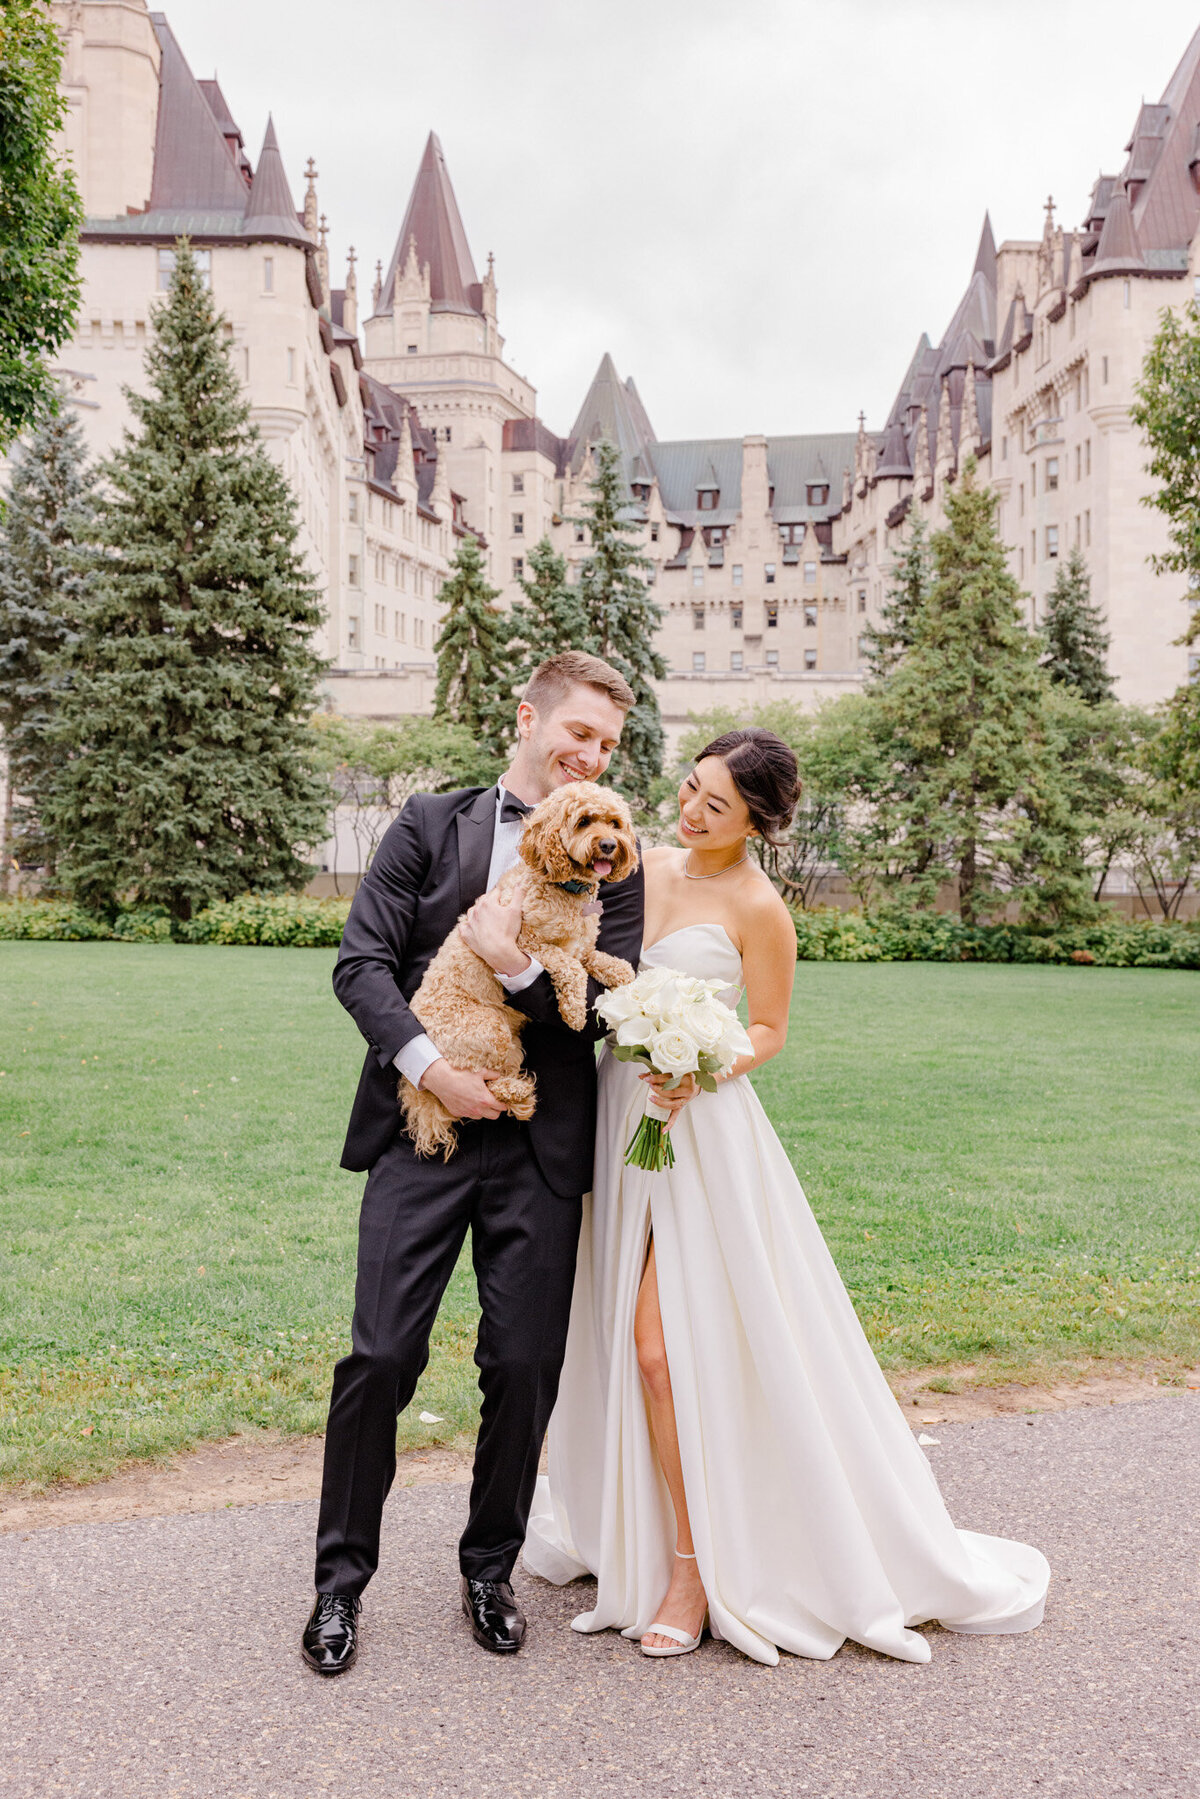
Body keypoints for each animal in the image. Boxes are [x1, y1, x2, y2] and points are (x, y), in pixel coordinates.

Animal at [395, 780, 636, 1158]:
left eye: (614, 823)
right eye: (584, 821)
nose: (609, 845)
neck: (563, 887)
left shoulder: (582, 947)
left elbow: (596, 958)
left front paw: (622, 974)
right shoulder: (526, 943)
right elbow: (570, 967)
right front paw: (573, 1011)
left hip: (507, 1042)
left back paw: (519, 1093)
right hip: (487, 1028)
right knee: (475, 1086)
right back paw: (515, 1091)